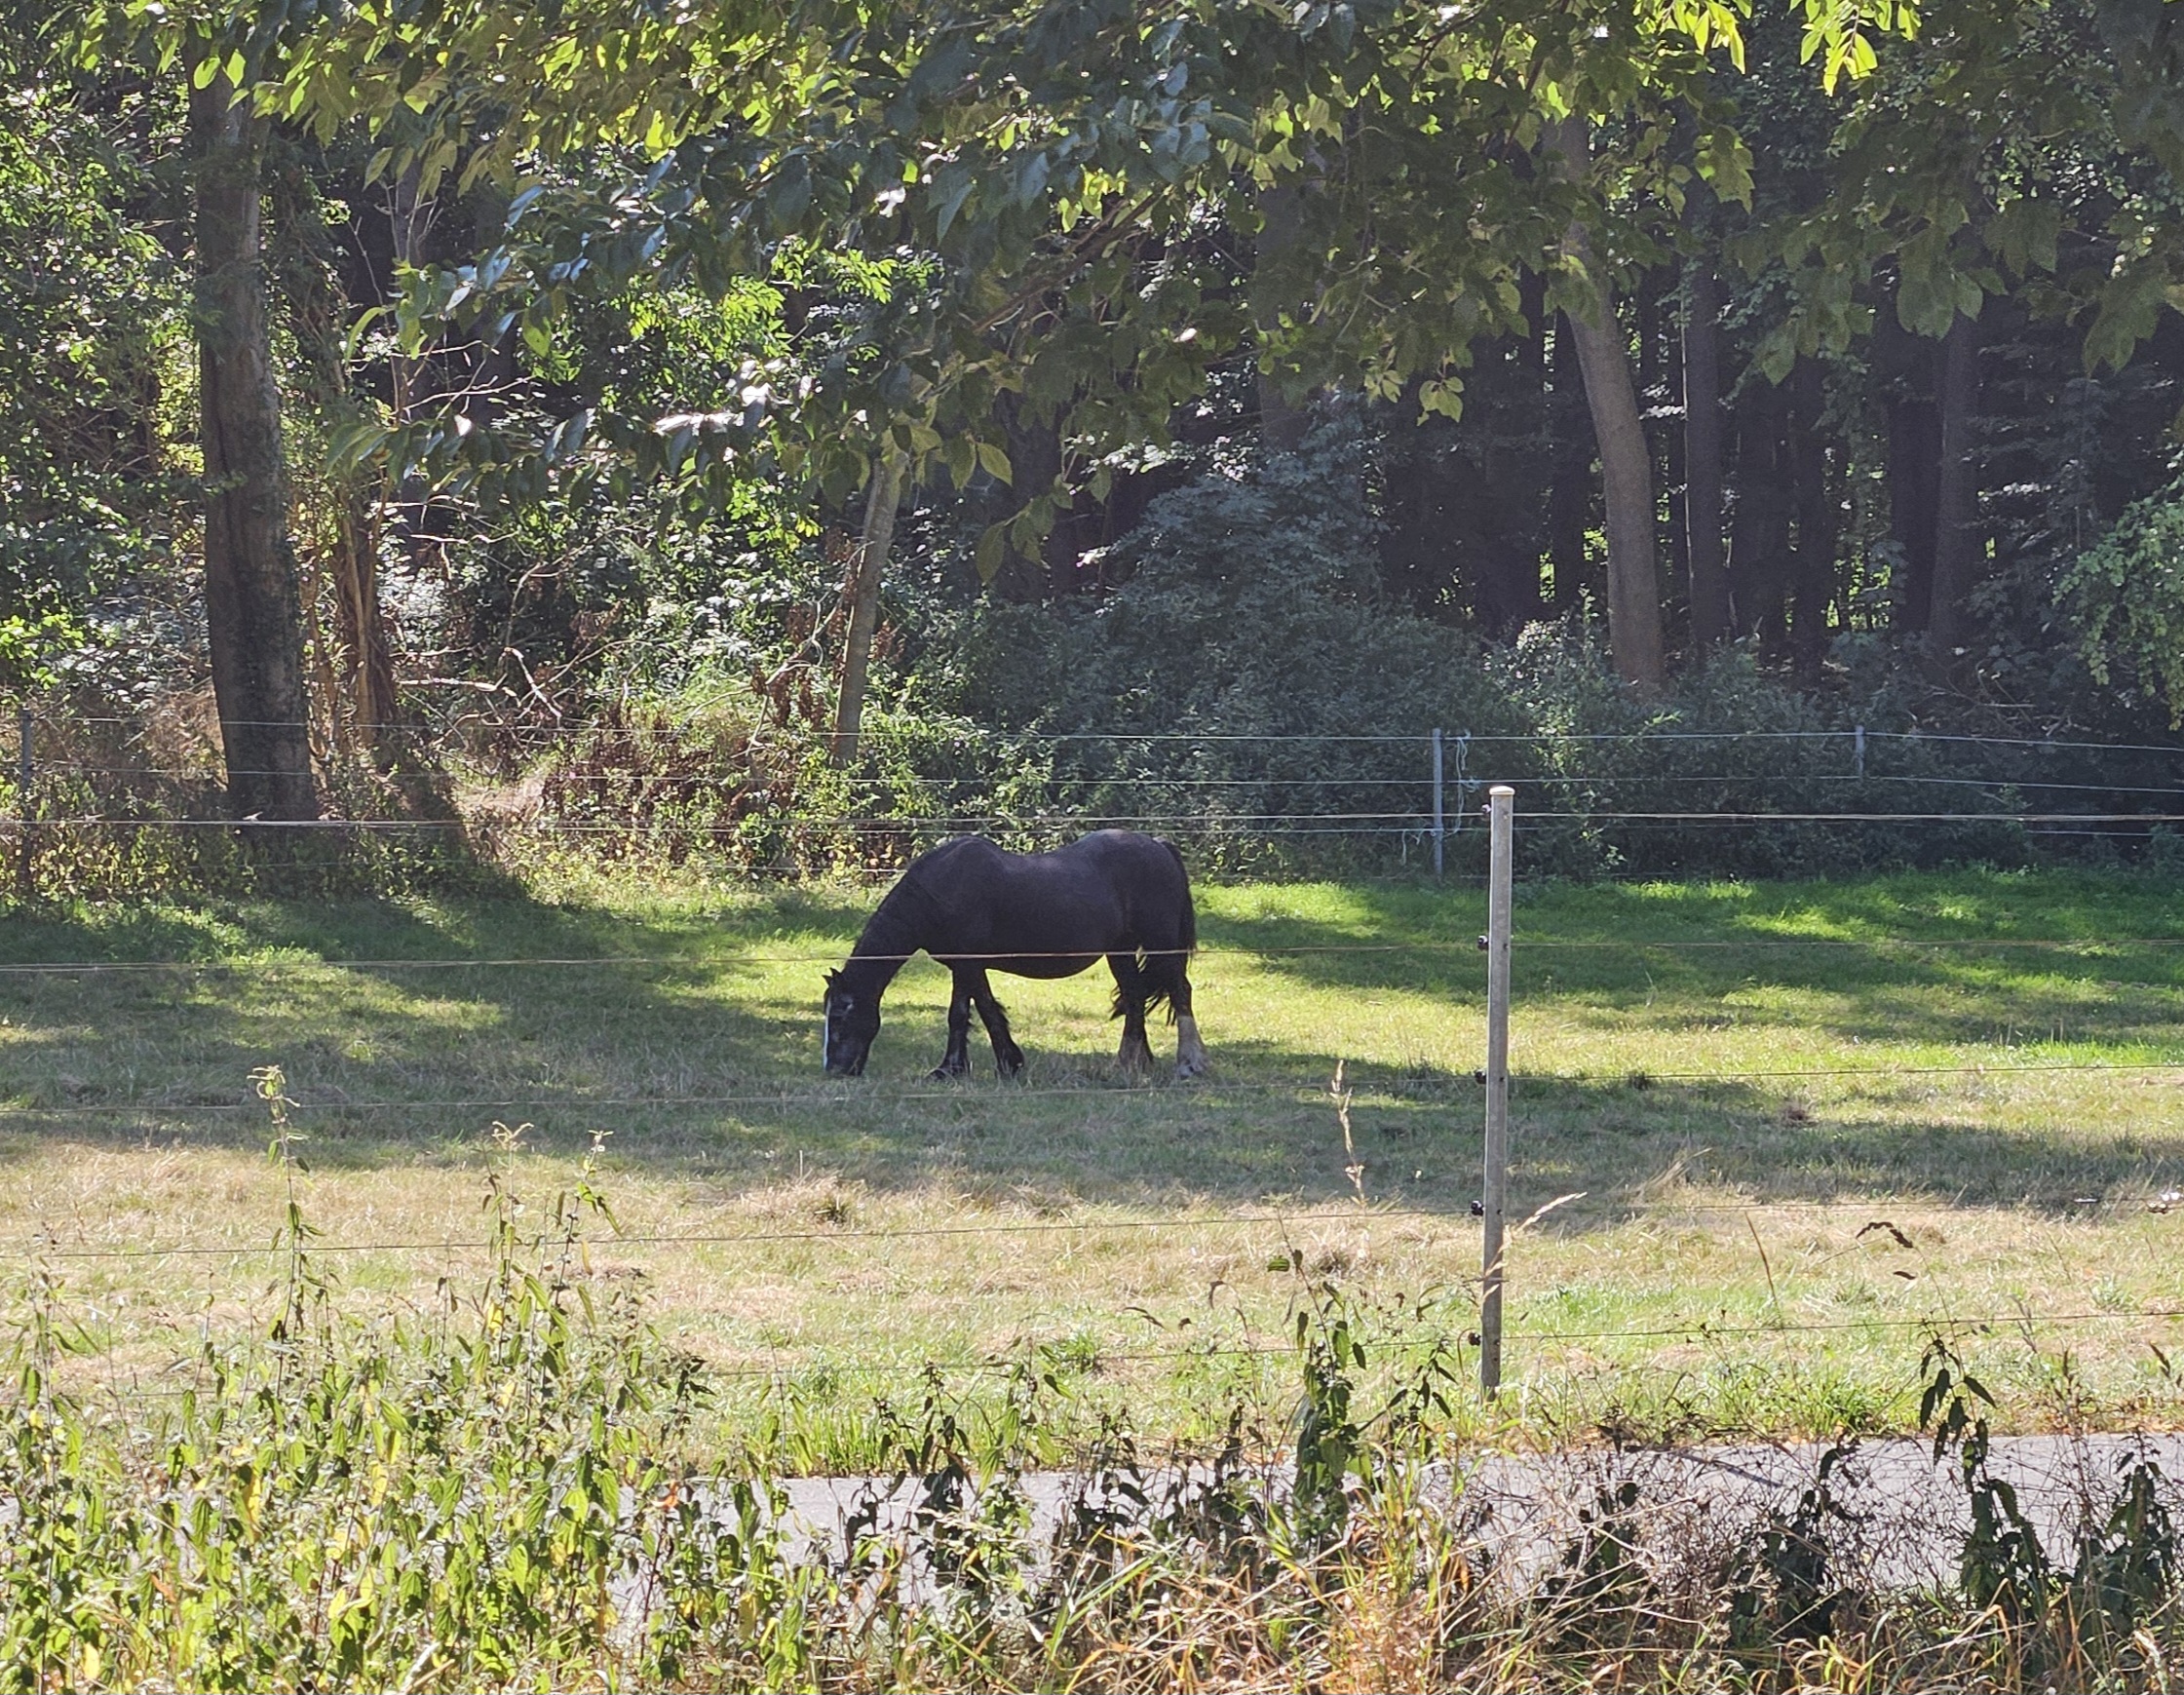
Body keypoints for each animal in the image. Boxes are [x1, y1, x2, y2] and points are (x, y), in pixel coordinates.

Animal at [822, 829, 1209, 1081]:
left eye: (839, 1016)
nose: (834, 1070)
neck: (941, 890)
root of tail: (1158, 846)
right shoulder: (962, 967)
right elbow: (970, 1012)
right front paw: (967, 1067)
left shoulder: (969, 964)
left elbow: (974, 1012)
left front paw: (992, 1065)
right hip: (1121, 951)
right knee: (1134, 995)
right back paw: (1129, 1065)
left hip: (1160, 943)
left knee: (1180, 992)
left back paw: (1189, 1064)